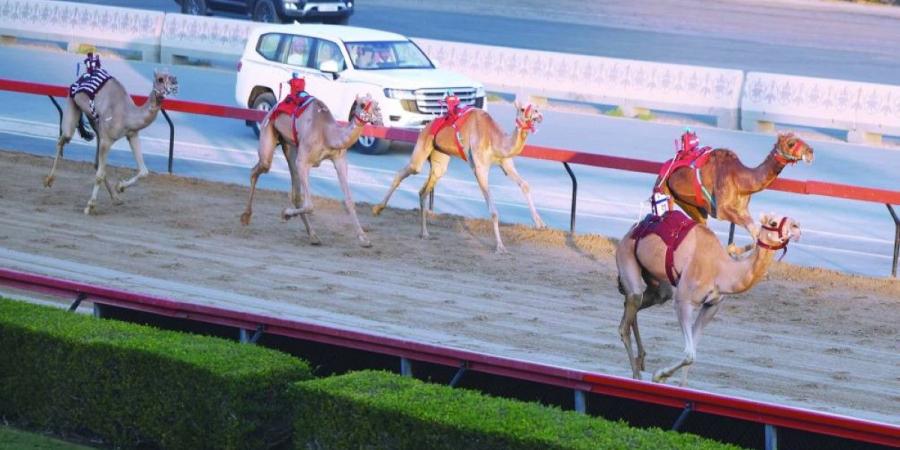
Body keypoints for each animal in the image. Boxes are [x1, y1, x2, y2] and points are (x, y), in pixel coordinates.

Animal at [44, 56, 178, 214]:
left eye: (172, 75)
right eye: (160, 79)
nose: (175, 81)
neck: (127, 115)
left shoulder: (132, 134)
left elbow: (144, 171)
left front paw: (120, 187)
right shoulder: (107, 140)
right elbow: (100, 175)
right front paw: (90, 205)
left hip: (95, 124)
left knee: (97, 162)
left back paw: (116, 198)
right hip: (73, 102)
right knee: (63, 139)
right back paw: (48, 180)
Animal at [239, 80, 380, 246]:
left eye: (377, 103)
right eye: (363, 104)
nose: (378, 114)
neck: (327, 133)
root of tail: (273, 108)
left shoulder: (339, 160)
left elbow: (349, 201)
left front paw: (364, 238)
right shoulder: (303, 161)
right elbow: (310, 205)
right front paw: (284, 213)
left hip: (290, 146)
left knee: (295, 193)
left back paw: (312, 235)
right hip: (269, 130)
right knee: (259, 168)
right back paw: (246, 216)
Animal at [370, 99, 544, 253]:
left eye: (537, 107)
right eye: (523, 109)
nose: (538, 115)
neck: (495, 139)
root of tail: (426, 126)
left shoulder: (506, 163)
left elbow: (525, 185)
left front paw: (540, 223)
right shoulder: (479, 168)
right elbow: (493, 211)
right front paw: (500, 247)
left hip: (440, 159)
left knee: (423, 190)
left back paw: (424, 233)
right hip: (422, 147)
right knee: (405, 171)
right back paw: (377, 209)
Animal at [612, 209, 800, 384]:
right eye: (773, 223)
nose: (797, 226)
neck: (721, 270)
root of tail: (633, 228)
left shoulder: (712, 306)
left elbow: (693, 352)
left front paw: (679, 384)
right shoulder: (684, 300)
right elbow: (690, 354)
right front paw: (659, 376)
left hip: (655, 278)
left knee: (642, 300)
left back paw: (641, 359)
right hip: (626, 252)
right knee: (631, 306)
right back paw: (636, 374)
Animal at [656, 132, 812, 253]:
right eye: (791, 143)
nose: (810, 152)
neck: (740, 179)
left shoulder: (742, 209)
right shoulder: (721, 210)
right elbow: (754, 231)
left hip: (692, 206)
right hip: (664, 192)